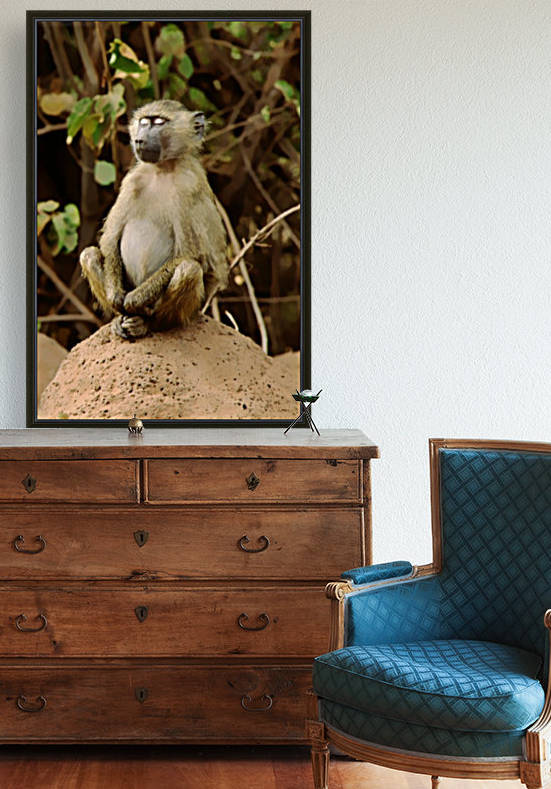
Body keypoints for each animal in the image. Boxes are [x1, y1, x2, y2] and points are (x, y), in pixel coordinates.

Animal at [80, 100, 228, 340]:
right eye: (143, 122)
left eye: (158, 122)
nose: (139, 139)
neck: (162, 169)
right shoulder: (131, 181)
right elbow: (109, 241)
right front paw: (115, 297)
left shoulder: (188, 186)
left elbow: (192, 255)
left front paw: (135, 298)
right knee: (89, 254)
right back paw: (119, 320)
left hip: (193, 309)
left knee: (189, 270)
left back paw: (147, 324)